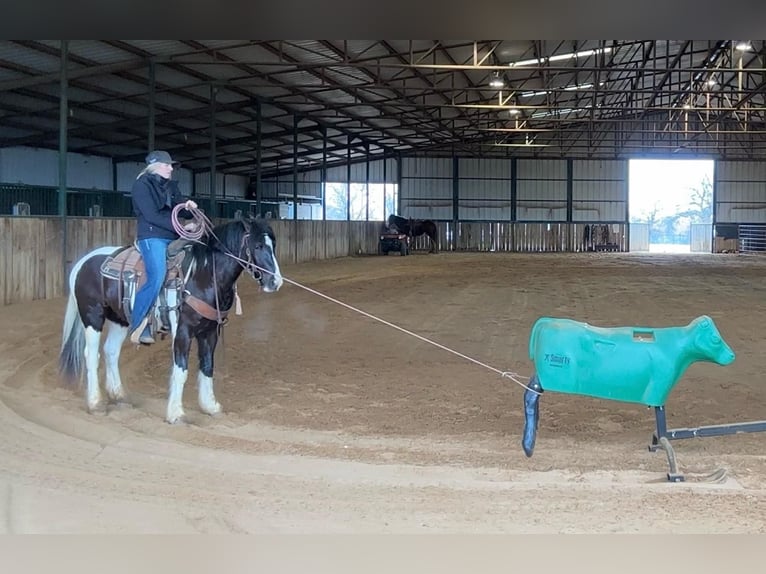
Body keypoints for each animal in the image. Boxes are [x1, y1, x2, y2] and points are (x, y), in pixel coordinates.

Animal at [58, 214, 284, 426]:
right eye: (258, 245)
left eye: (273, 245)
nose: (276, 282)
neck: (202, 275)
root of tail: (83, 261)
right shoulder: (183, 331)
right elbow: (181, 371)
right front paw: (176, 414)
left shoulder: (210, 332)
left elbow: (207, 366)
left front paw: (210, 406)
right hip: (92, 316)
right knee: (91, 355)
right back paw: (95, 403)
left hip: (119, 319)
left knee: (111, 351)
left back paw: (119, 395)